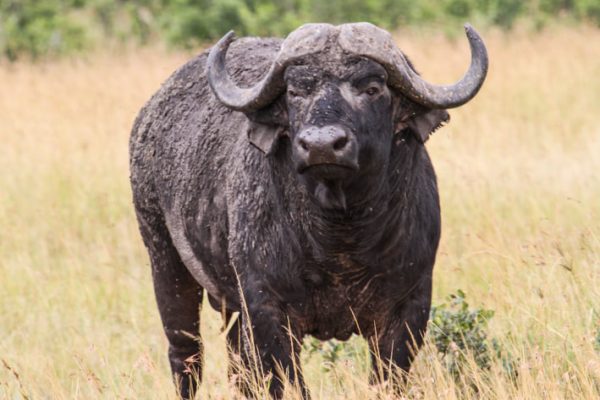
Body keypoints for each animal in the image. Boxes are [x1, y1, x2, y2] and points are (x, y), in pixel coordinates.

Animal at [129, 22, 486, 400]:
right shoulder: (266, 310)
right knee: (186, 354)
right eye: (295, 91)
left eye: (372, 88)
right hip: (164, 260)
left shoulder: (409, 306)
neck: (339, 240)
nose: (321, 145)